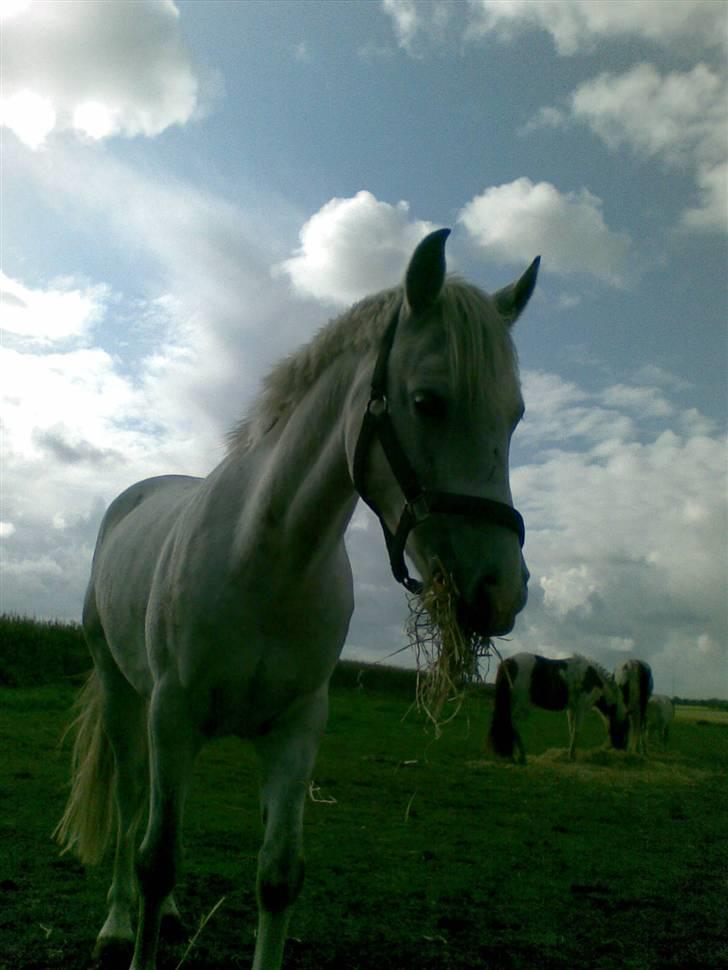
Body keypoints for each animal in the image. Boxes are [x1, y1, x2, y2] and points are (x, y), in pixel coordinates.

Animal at [55, 229, 540, 968]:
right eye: (428, 401)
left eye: (514, 417)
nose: (500, 590)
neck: (267, 560)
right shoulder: (172, 714)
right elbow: (155, 857)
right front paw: (136, 930)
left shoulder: (297, 727)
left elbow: (277, 875)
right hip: (121, 691)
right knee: (134, 800)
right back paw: (117, 923)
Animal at [490, 652, 624, 764]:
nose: (616, 747)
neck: (593, 678)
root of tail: (508, 662)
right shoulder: (580, 707)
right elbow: (576, 731)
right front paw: (572, 756)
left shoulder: (572, 708)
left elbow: (571, 730)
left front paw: (570, 754)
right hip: (521, 704)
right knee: (511, 722)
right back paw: (521, 756)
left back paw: (513, 756)